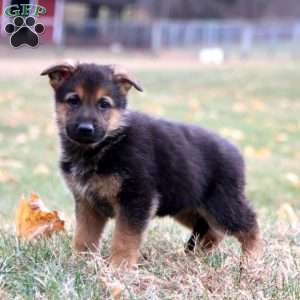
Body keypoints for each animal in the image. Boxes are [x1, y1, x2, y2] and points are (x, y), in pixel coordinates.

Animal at [41, 62, 262, 268]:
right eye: (73, 101)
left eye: (104, 104)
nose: (85, 129)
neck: (108, 143)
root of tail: (235, 152)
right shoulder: (87, 203)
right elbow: (84, 237)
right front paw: (80, 263)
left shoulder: (135, 200)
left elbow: (124, 238)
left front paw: (119, 268)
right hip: (185, 205)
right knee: (212, 231)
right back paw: (196, 257)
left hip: (221, 205)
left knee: (250, 225)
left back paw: (251, 261)